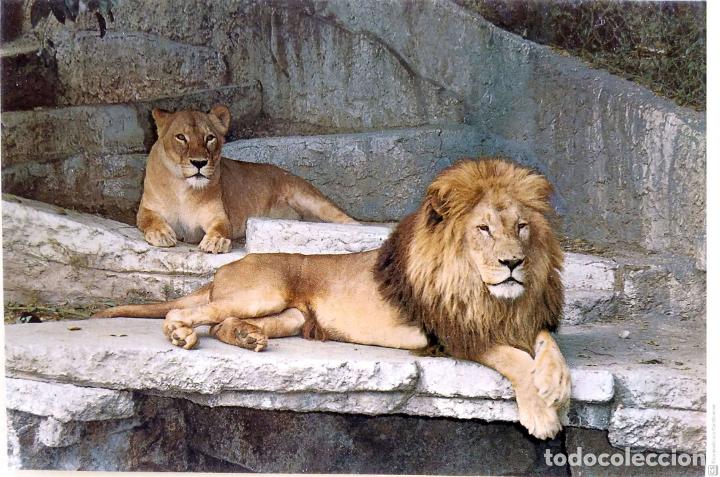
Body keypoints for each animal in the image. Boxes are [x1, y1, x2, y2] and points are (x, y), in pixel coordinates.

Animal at [96, 157, 571, 439]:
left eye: (522, 227)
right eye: (484, 229)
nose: (513, 263)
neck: (492, 296)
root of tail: (226, 266)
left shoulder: (525, 321)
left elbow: (547, 343)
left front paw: (555, 381)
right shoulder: (455, 333)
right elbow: (513, 359)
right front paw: (542, 413)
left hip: (287, 315)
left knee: (222, 323)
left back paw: (249, 338)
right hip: (262, 291)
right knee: (187, 310)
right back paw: (180, 333)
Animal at [138, 104, 356, 253]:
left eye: (210, 137)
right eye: (181, 137)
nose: (199, 163)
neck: (182, 188)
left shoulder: (219, 216)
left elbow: (221, 228)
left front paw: (216, 241)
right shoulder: (146, 209)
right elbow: (150, 220)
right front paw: (161, 234)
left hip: (309, 197)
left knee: (348, 220)